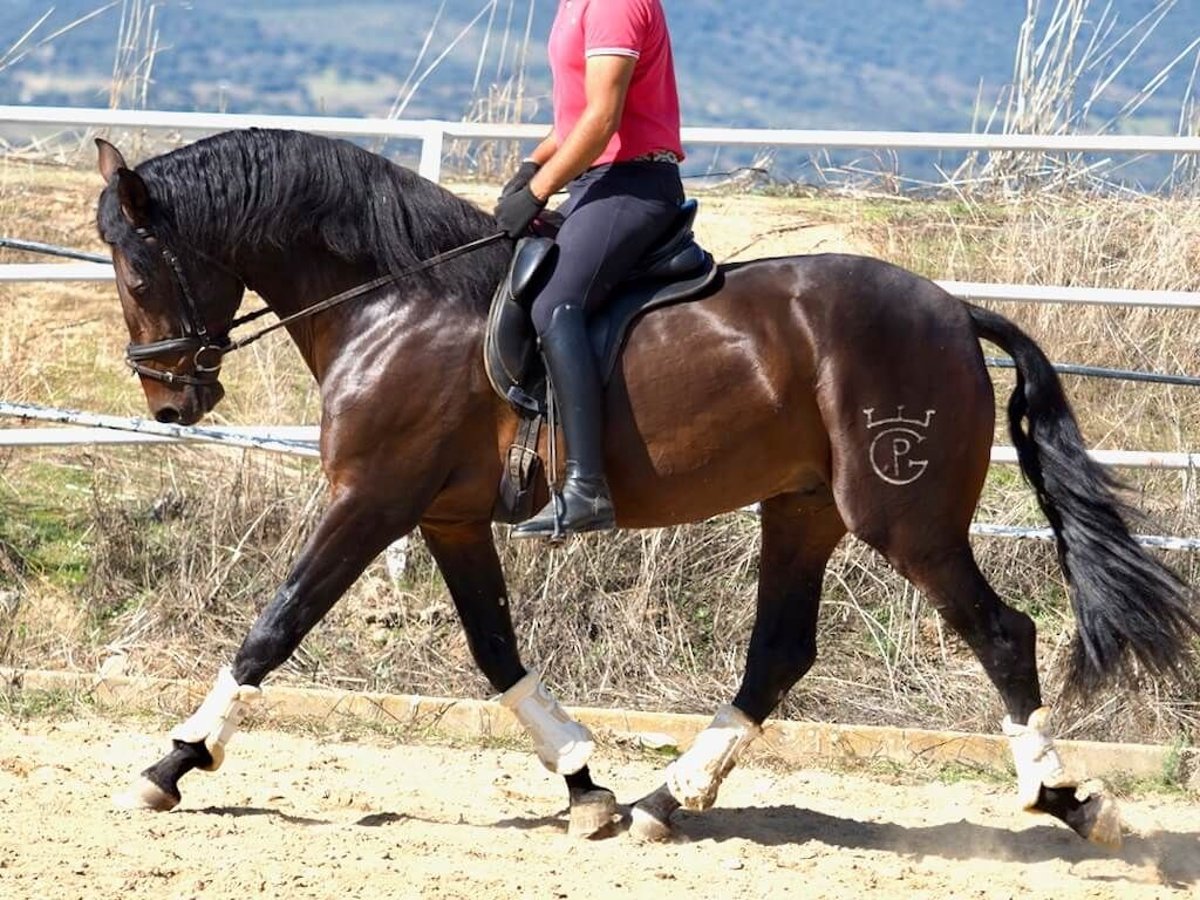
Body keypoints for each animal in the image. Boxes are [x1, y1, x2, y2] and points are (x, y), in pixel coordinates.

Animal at [96, 130, 1200, 849]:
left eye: (137, 263)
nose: (169, 399)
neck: (397, 302)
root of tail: (954, 309)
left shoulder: (372, 500)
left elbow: (273, 629)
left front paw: (170, 765)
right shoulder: (447, 517)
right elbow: (496, 655)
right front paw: (585, 785)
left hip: (905, 515)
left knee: (1001, 634)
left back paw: (1066, 798)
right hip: (804, 510)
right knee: (778, 654)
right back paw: (666, 800)